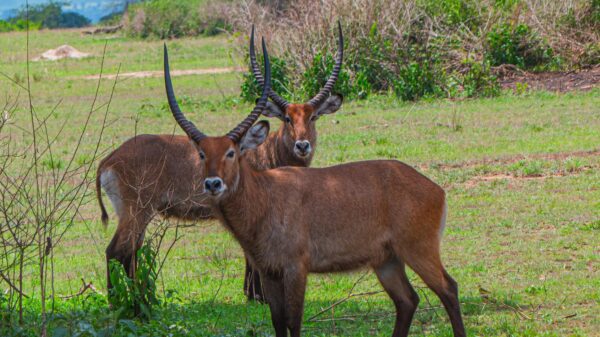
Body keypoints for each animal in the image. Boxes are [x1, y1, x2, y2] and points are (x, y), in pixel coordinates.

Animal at [96, 26, 344, 300]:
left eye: (313, 117)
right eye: (287, 118)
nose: (302, 146)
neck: (266, 152)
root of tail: (109, 158)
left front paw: (251, 293)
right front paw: (257, 296)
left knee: (130, 253)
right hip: (137, 212)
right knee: (116, 251)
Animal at [166, 36, 466, 336]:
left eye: (231, 152)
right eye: (202, 154)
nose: (213, 183)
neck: (264, 198)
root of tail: (436, 188)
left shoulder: (296, 269)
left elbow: (294, 322)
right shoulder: (269, 272)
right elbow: (278, 322)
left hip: (418, 249)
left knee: (449, 289)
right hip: (387, 260)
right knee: (408, 300)